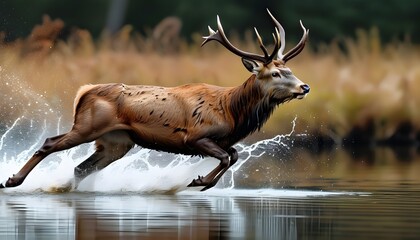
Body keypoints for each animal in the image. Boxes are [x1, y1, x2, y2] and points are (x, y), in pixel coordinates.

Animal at [0, 9, 308, 191]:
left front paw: (202, 182)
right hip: (87, 126)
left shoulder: (222, 140)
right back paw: (12, 180)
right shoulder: (196, 137)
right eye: (275, 73)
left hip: (116, 142)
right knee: (50, 143)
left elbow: (233, 155)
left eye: (290, 70)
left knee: (80, 168)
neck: (232, 112)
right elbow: (226, 157)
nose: (305, 86)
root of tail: (83, 92)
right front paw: (199, 180)